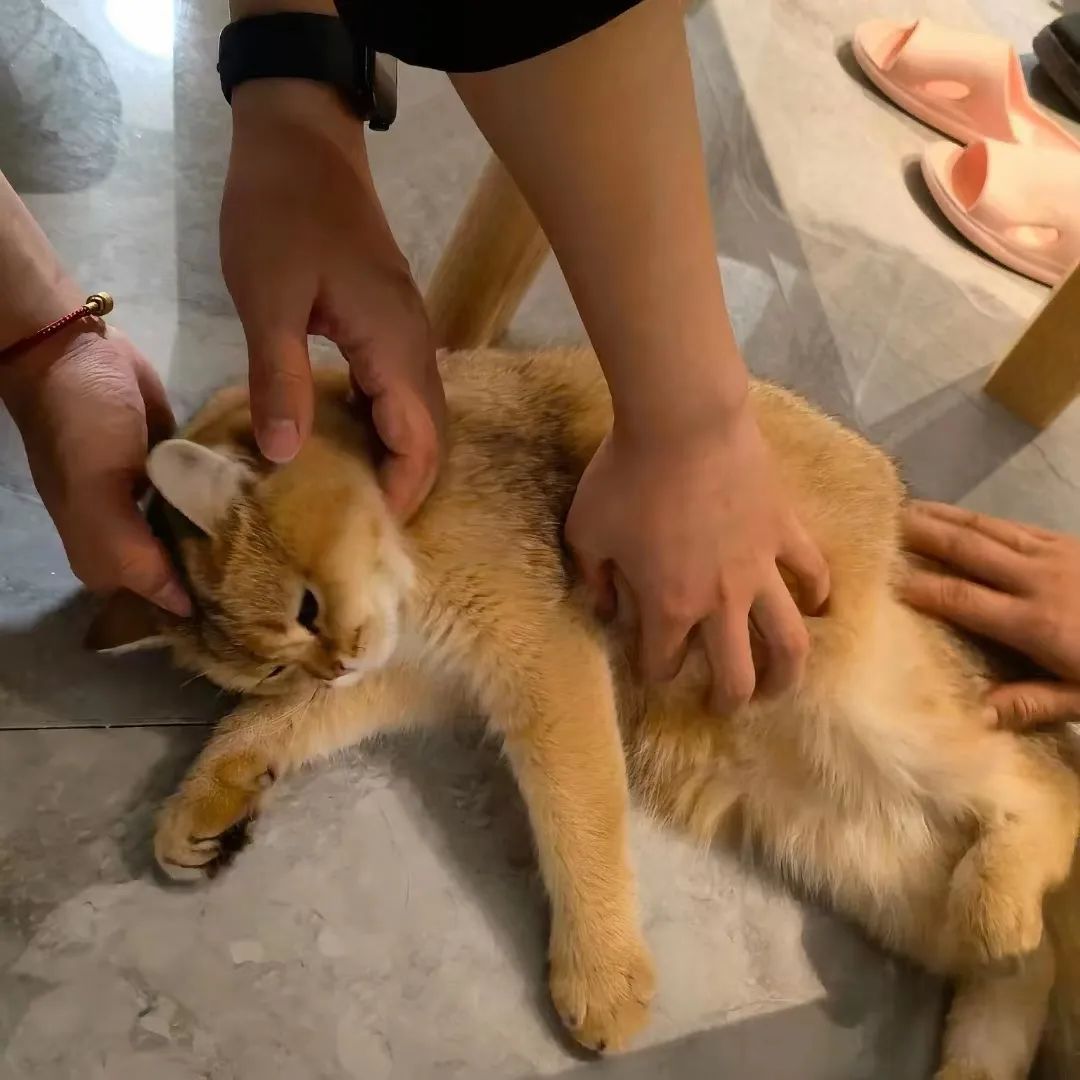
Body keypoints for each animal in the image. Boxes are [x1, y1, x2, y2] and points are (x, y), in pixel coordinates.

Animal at [89, 347, 1080, 1078]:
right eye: (272, 663)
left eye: (304, 607)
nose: (330, 663)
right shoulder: (420, 672)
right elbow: (277, 727)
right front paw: (203, 802)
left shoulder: (544, 655)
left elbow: (579, 817)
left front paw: (601, 974)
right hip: (864, 857)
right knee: (1032, 962)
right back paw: (983, 1026)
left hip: (864, 701)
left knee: (1046, 791)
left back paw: (999, 900)